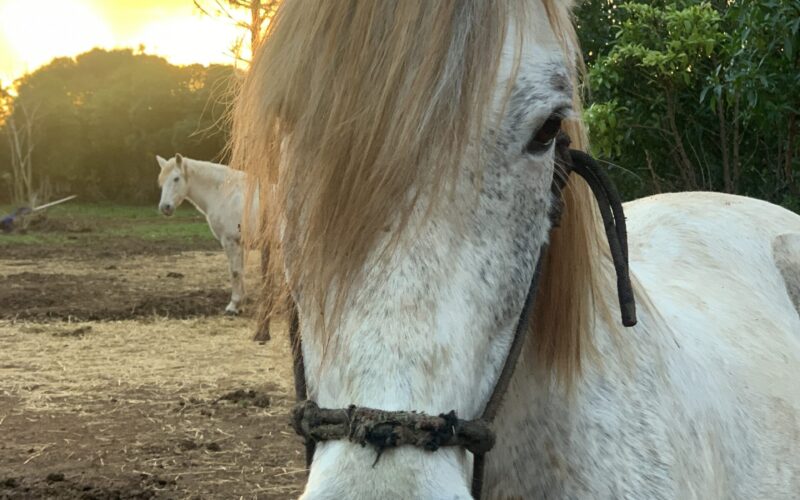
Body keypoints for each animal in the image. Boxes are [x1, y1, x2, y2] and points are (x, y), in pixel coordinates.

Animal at [155, 154, 255, 314]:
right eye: (161, 181)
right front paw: (241, 304)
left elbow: (234, 272)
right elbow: (241, 271)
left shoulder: (230, 241)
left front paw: (233, 306)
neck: (225, 193)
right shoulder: (240, 243)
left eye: (176, 178)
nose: (165, 207)